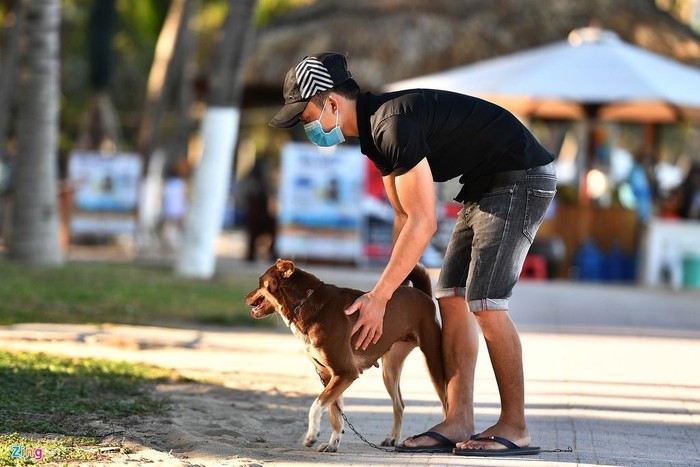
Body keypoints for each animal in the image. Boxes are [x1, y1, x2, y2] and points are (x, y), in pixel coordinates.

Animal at [243, 260, 446, 454]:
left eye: (260, 282)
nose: (244, 298)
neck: (304, 301)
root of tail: (423, 294)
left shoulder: (345, 373)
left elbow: (316, 406)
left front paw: (311, 435)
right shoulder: (330, 376)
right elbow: (335, 415)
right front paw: (332, 444)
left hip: (432, 363)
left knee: (445, 402)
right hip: (390, 369)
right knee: (400, 404)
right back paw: (393, 438)